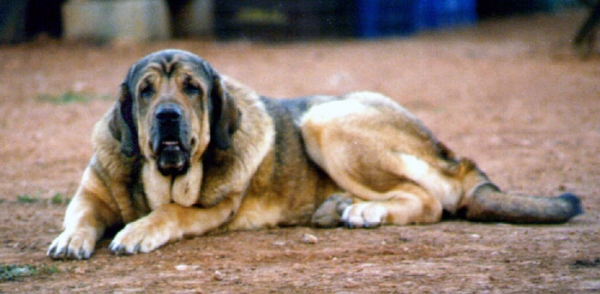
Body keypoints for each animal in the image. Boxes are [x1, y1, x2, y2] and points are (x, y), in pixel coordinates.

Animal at [47, 50, 580, 260]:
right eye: (146, 91)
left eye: (191, 88)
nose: (168, 116)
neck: (157, 177)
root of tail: (453, 155)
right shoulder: (90, 195)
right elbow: (81, 216)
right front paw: (71, 239)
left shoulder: (210, 209)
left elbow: (171, 213)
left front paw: (139, 230)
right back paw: (338, 207)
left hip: (325, 119)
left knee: (428, 199)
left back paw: (364, 211)